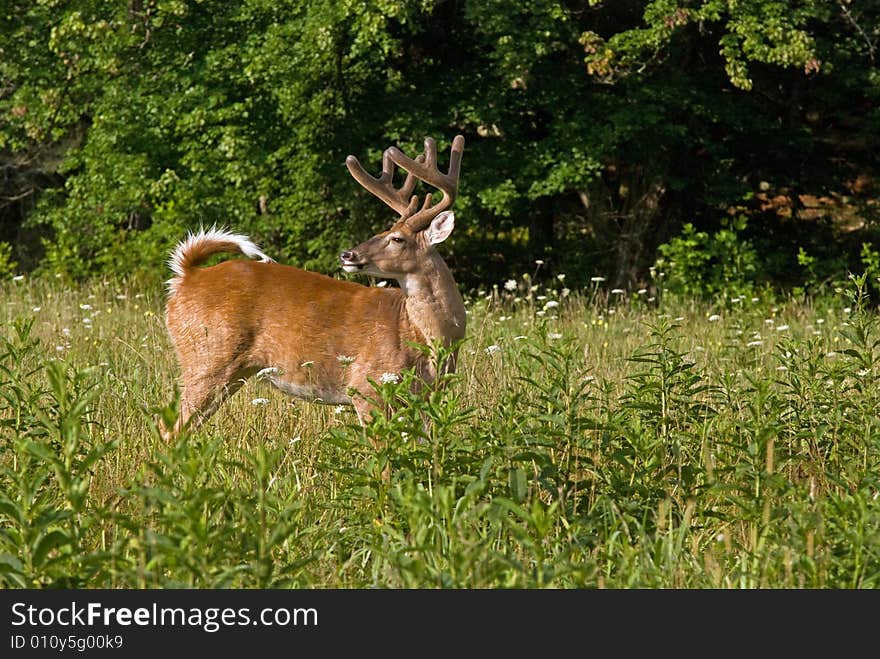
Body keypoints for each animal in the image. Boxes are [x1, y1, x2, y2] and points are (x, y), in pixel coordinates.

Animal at [162, 134, 470, 444]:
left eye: (396, 238)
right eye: (384, 232)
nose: (348, 254)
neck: (420, 335)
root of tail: (186, 277)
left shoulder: (423, 398)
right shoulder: (367, 386)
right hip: (206, 357)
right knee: (170, 430)